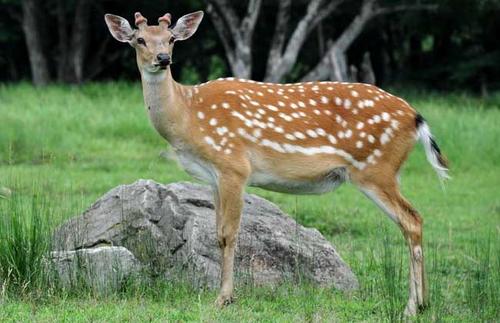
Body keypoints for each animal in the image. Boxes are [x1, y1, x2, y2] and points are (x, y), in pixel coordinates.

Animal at [105, 9, 450, 316]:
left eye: (171, 39)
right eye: (139, 39)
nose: (163, 58)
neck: (188, 115)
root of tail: (416, 117)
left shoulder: (234, 165)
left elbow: (229, 233)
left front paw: (224, 298)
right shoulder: (214, 175)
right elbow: (216, 233)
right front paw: (223, 295)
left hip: (376, 168)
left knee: (411, 219)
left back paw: (411, 306)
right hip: (385, 170)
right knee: (414, 219)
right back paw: (424, 303)